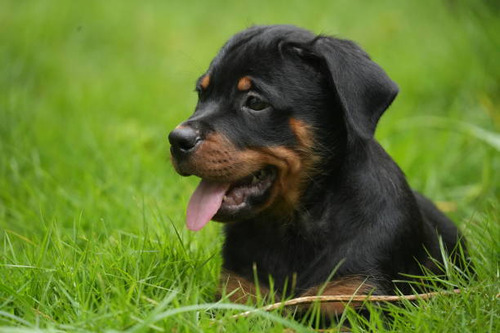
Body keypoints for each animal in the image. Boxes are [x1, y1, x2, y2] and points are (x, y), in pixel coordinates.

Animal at [168, 24, 464, 312]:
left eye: (255, 102)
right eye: (202, 93)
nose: (176, 139)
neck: (294, 225)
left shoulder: (354, 296)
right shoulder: (238, 294)